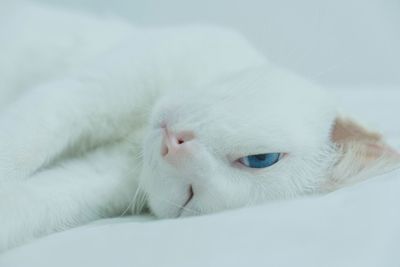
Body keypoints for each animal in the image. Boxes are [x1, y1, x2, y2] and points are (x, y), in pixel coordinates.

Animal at [0, 2, 400, 252]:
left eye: (190, 195)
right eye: (262, 159)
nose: (175, 144)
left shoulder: (98, 176)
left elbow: (30, 202)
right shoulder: (100, 88)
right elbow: (27, 135)